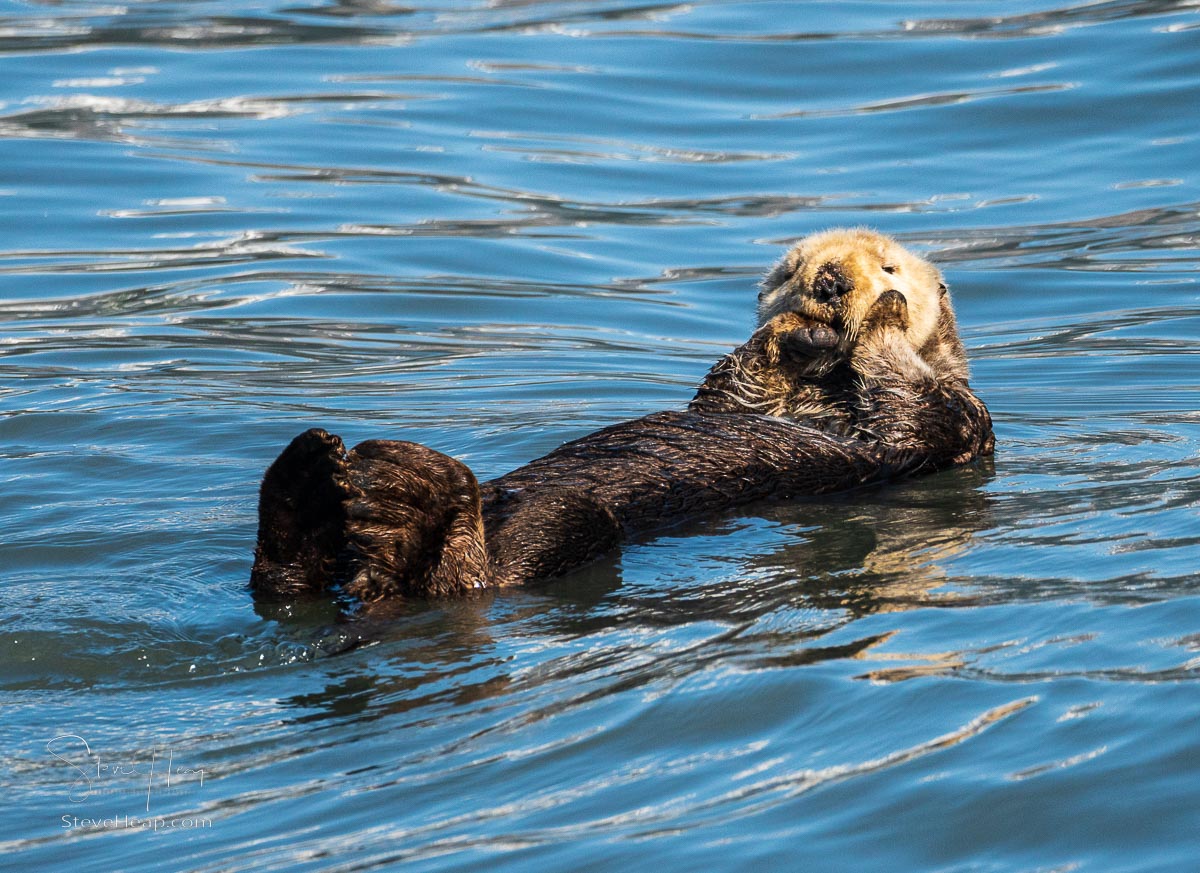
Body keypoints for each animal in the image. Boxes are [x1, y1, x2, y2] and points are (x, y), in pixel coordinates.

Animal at [248, 229, 988, 604]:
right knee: (288, 579)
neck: (821, 391)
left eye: (888, 265)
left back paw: (406, 496)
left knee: (465, 576)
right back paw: (311, 477)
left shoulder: (953, 423)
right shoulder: (735, 396)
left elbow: (913, 400)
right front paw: (790, 335)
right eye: (790, 272)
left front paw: (882, 315)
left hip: (568, 523)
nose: (829, 283)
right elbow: (741, 379)